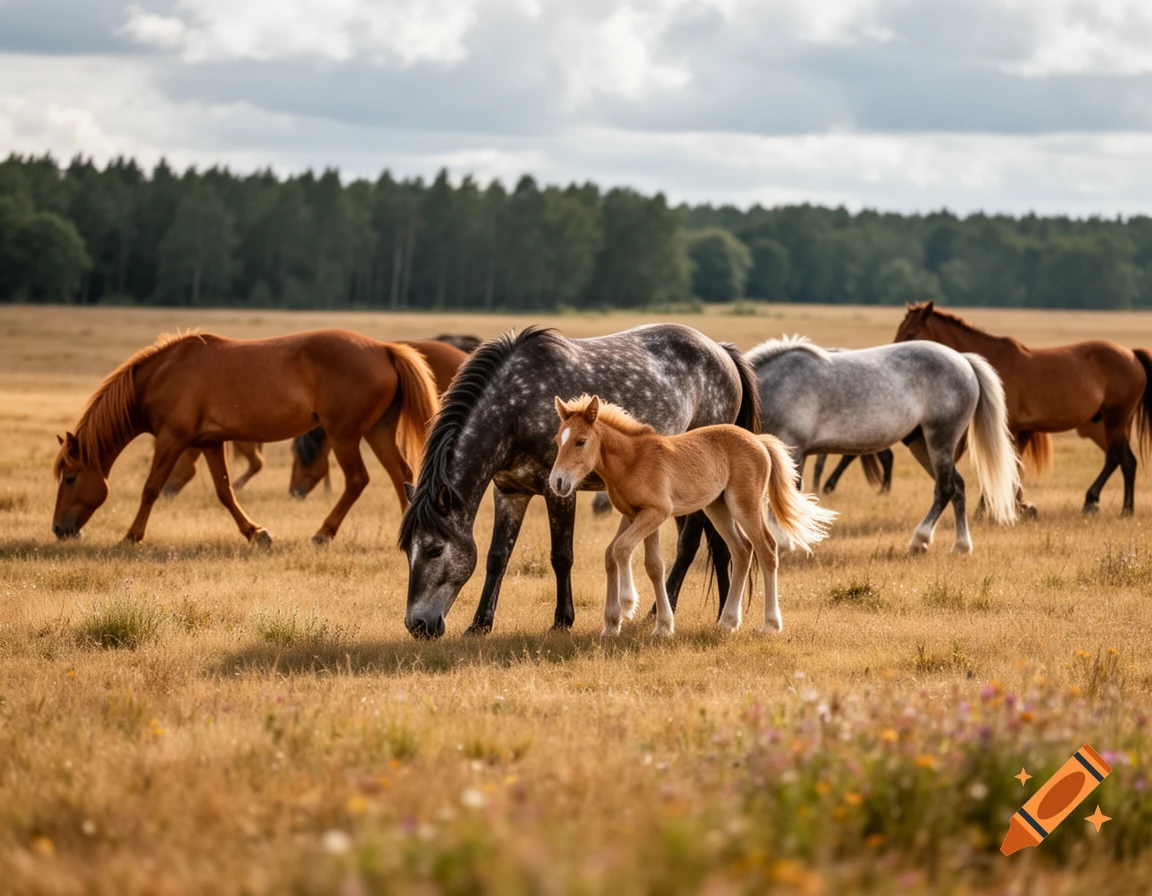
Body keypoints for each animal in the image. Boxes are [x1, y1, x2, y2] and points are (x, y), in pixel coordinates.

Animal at [52, 329, 440, 545]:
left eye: (70, 478)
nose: (59, 529)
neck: (163, 374)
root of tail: (384, 349)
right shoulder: (209, 443)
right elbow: (225, 492)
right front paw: (256, 533)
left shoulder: (171, 439)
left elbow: (151, 488)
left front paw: (132, 535)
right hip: (376, 431)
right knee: (401, 474)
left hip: (343, 435)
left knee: (358, 480)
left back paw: (323, 532)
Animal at [399, 324, 761, 639]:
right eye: (407, 550)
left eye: (434, 550)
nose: (417, 625)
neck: (514, 408)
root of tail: (722, 352)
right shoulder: (509, 491)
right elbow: (496, 557)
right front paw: (480, 624)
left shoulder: (558, 490)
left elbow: (561, 556)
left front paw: (562, 620)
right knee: (718, 545)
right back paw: (700, 611)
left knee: (693, 544)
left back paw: (686, 613)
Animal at [549, 395, 835, 637]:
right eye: (557, 441)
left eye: (581, 441)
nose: (557, 482)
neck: (633, 460)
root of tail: (759, 441)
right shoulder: (634, 515)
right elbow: (637, 561)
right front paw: (618, 625)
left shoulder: (656, 513)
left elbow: (622, 549)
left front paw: (629, 604)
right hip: (717, 507)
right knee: (742, 550)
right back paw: (728, 621)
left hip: (744, 505)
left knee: (766, 548)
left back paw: (770, 625)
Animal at [743, 336, 1020, 554]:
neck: (776, 386)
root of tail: (963, 360)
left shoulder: (793, 448)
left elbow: (782, 499)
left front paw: (784, 543)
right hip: (921, 445)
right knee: (958, 487)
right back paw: (961, 546)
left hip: (940, 440)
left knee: (945, 488)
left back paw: (919, 540)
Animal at [895, 302, 1152, 516]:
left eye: (910, 334)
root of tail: (1132, 355)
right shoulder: (1019, 431)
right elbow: (1013, 468)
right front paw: (1020, 507)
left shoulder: (1008, 429)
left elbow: (1005, 466)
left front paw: (990, 509)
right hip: (1119, 423)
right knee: (1128, 462)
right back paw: (1126, 509)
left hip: (1114, 420)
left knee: (1114, 458)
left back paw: (1092, 500)